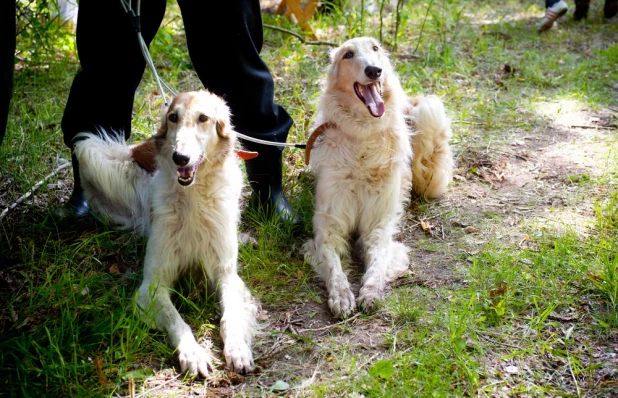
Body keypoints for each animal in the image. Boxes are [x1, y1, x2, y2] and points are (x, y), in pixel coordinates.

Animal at [73, 90, 256, 376]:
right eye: (173, 118)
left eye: (203, 118)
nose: (180, 157)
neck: (192, 196)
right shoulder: (152, 285)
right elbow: (177, 320)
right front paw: (193, 354)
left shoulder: (226, 274)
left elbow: (231, 315)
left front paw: (237, 349)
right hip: (90, 149)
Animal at [304, 36, 452, 318]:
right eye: (348, 55)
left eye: (375, 48)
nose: (374, 70)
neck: (362, 136)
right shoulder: (328, 226)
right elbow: (333, 266)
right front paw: (342, 296)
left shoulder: (379, 225)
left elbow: (378, 264)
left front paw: (371, 292)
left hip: (428, 110)